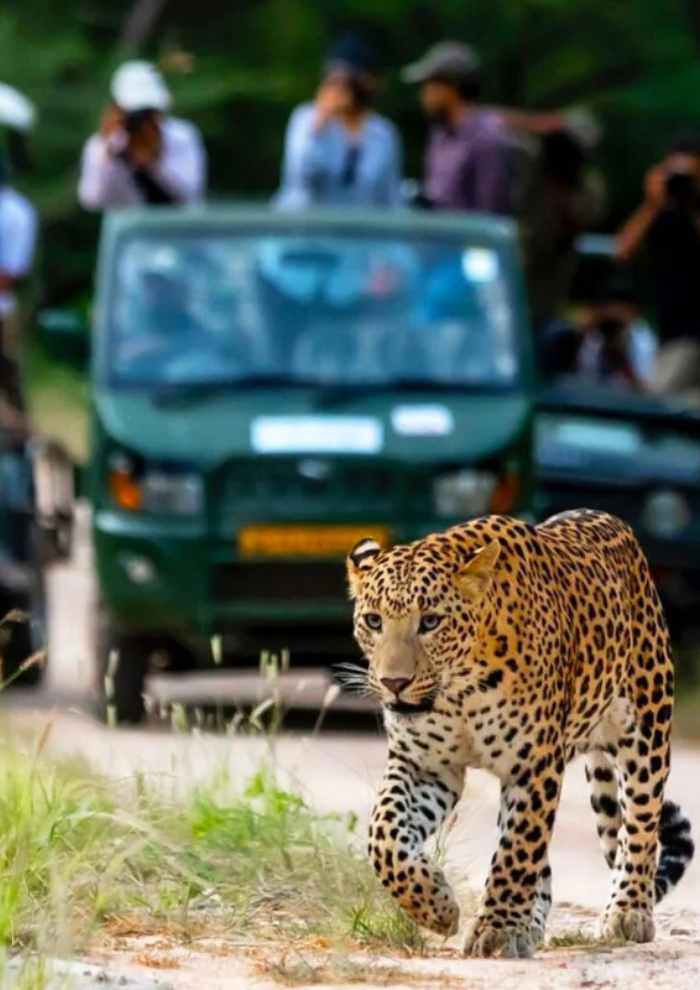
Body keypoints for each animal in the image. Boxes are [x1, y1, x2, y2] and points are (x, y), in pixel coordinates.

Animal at [346, 509, 694, 959]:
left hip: (646, 732)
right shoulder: (425, 765)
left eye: (431, 622)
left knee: (639, 826)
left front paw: (495, 930)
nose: (394, 683)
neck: (460, 690)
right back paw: (530, 925)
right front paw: (435, 906)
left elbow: (516, 850)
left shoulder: (534, 765)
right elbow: (384, 835)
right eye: (374, 621)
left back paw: (628, 912)